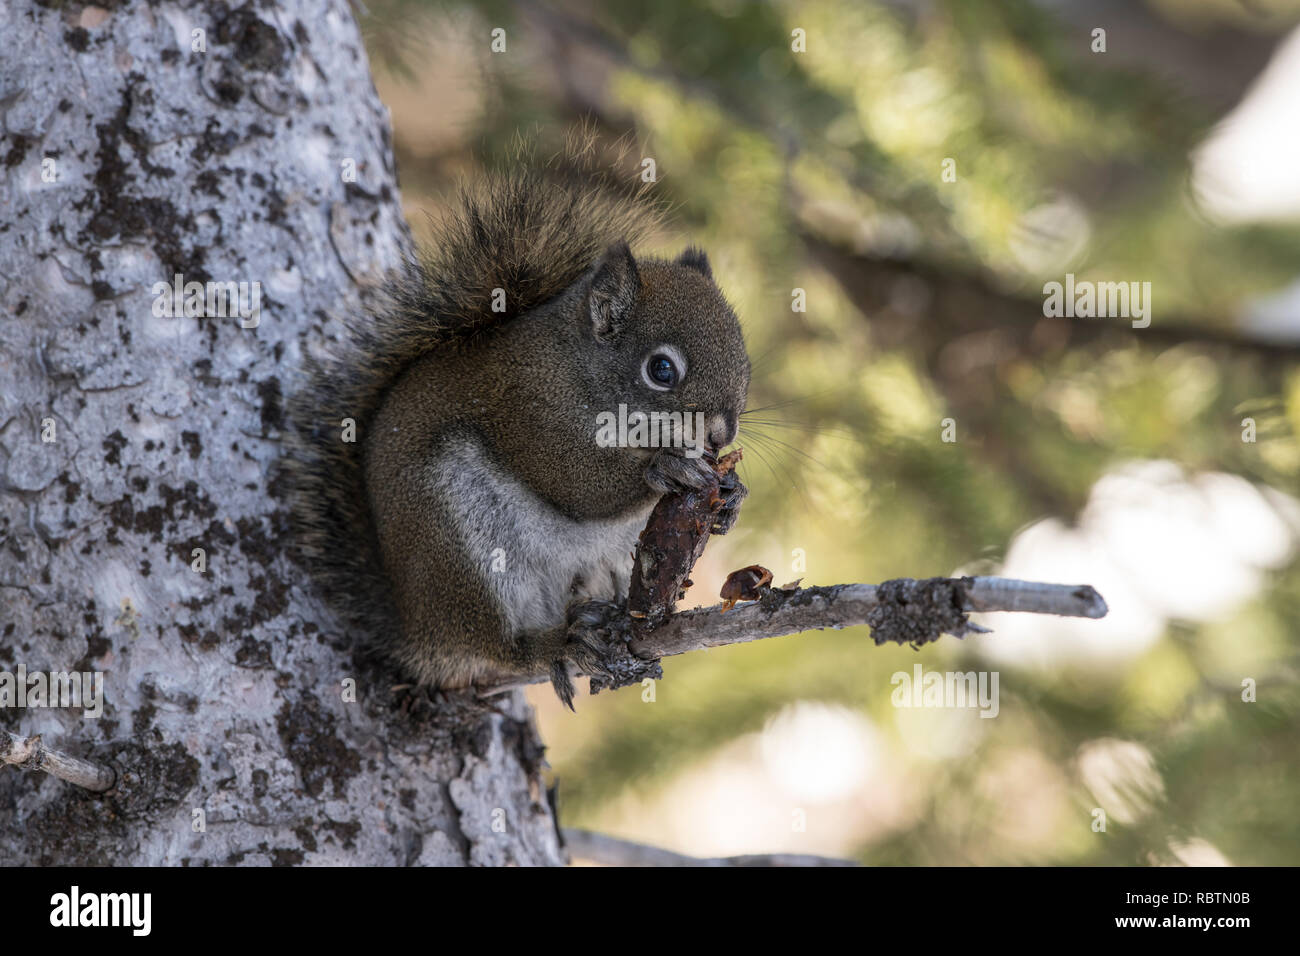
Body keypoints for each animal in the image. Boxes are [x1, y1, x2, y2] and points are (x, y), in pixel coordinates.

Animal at [288, 136, 750, 707]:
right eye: (661, 370)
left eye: (743, 356)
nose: (721, 435)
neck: (575, 369)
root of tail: (418, 637)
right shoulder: (528, 413)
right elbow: (578, 488)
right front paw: (665, 469)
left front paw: (731, 495)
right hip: (458, 546)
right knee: (499, 646)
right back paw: (561, 642)